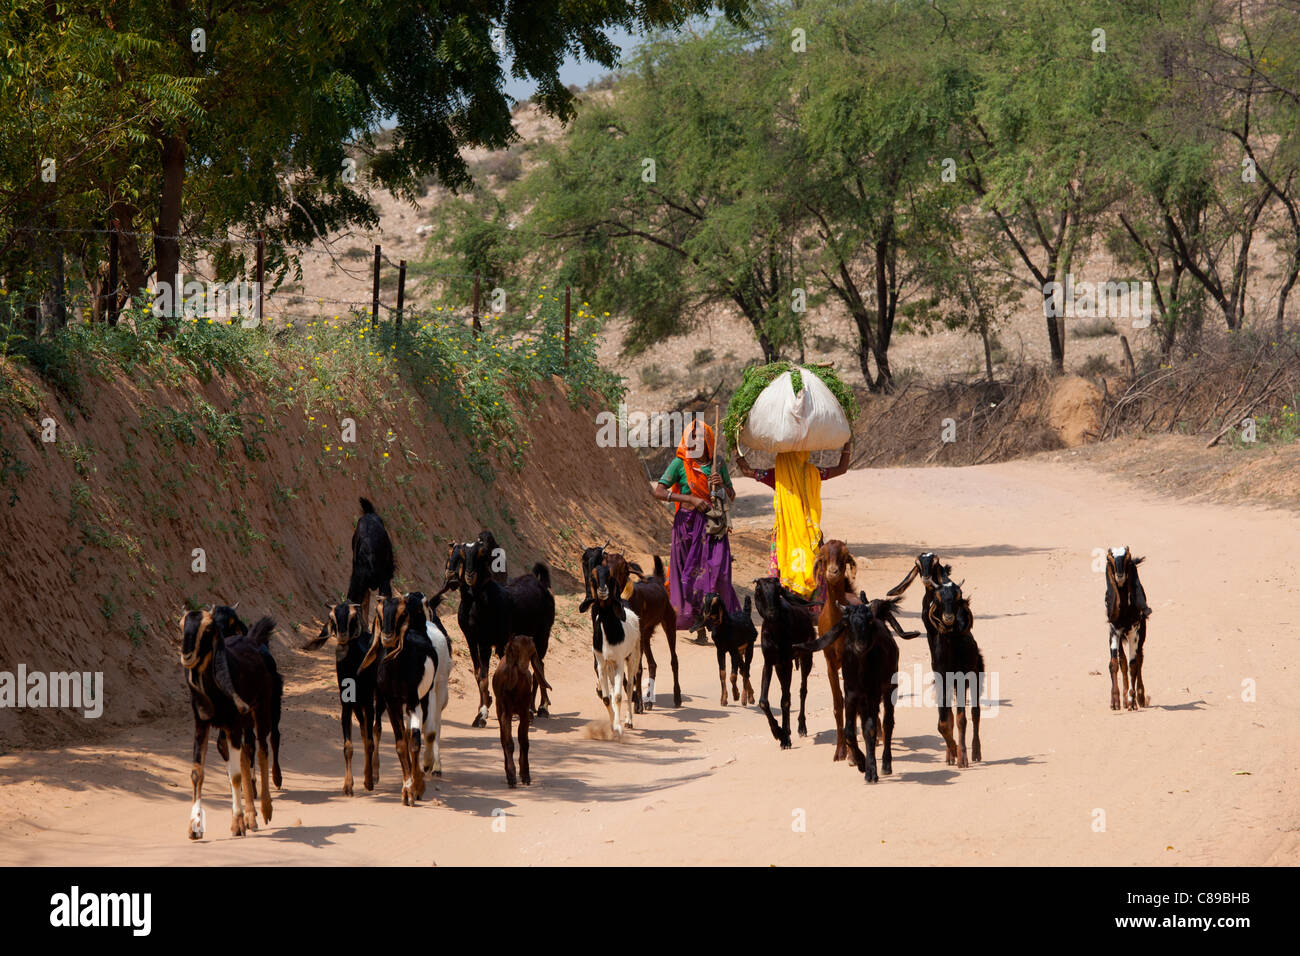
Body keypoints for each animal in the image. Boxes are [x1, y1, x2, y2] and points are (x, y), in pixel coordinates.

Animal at [180, 608, 282, 842]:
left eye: (208, 629)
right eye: (181, 625)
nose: (187, 655)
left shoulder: (233, 723)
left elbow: (235, 774)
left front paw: (237, 823)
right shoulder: (202, 724)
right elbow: (197, 772)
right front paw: (194, 827)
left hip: (262, 711)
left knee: (263, 748)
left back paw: (266, 808)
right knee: (247, 754)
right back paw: (252, 815)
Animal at [304, 606, 379, 801]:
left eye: (353, 616)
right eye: (332, 617)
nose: (343, 635)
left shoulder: (369, 703)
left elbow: (370, 741)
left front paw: (369, 781)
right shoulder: (346, 706)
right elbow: (348, 747)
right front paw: (347, 786)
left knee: (376, 730)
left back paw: (374, 774)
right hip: (358, 707)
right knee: (364, 731)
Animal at [488, 639, 546, 790]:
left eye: (531, 652)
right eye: (515, 650)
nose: (523, 667)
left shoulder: (525, 713)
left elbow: (524, 742)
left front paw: (525, 775)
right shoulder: (505, 714)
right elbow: (508, 743)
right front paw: (512, 777)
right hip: (499, 710)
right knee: (503, 740)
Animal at [754, 580, 811, 749]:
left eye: (777, 592)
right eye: (759, 592)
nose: (772, 614)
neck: (775, 631)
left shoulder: (786, 661)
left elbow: (785, 700)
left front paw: (785, 738)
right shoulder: (769, 662)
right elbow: (763, 701)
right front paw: (778, 732)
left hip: (806, 656)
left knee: (802, 690)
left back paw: (801, 727)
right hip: (779, 667)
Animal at [1102, 546, 1154, 712]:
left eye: (1127, 559)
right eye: (1110, 558)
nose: (1120, 576)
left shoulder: (1134, 632)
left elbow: (1133, 665)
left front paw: (1132, 702)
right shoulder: (1114, 631)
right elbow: (1115, 663)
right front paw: (1115, 701)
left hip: (1142, 633)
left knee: (1139, 659)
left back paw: (1140, 697)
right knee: (1123, 661)